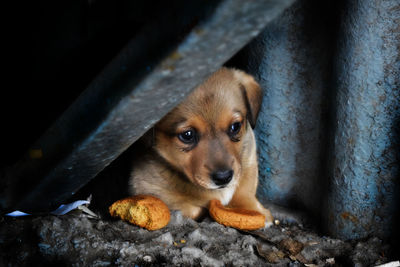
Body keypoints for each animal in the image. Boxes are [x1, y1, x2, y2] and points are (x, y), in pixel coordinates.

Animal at [130, 67, 274, 226]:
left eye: (235, 126)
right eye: (187, 135)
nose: (224, 178)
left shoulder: (248, 157)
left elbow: (244, 188)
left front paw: (252, 209)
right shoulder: (146, 188)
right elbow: (189, 208)